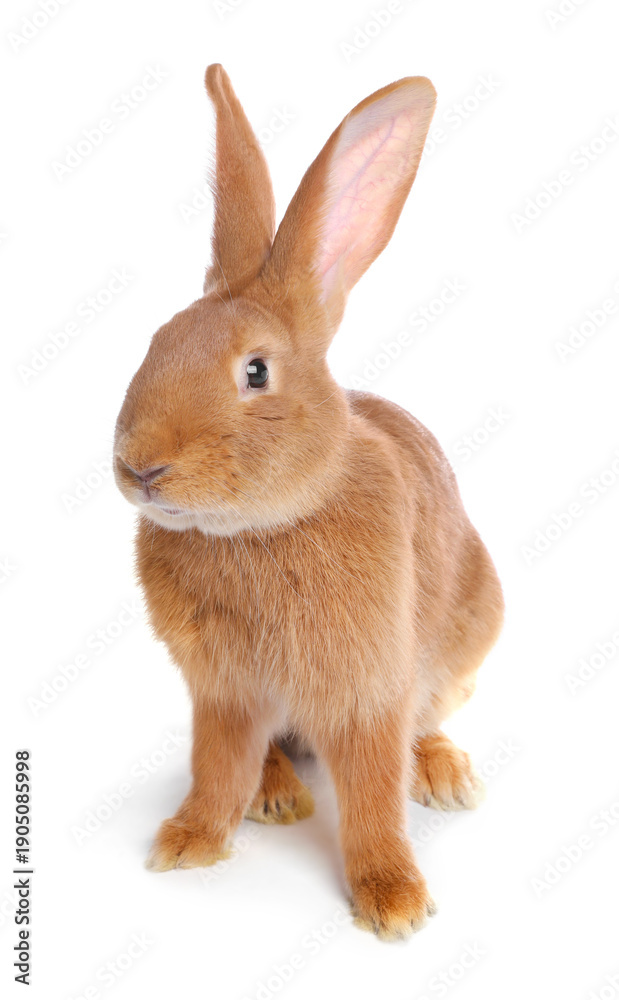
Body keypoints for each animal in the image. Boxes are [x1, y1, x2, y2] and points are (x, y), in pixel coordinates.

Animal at [113, 64, 504, 940]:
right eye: (156, 342)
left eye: (255, 372)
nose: (140, 467)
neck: (264, 525)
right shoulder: (222, 691)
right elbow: (217, 766)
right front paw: (187, 843)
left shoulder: (370, 689)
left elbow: (372, 796)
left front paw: (394, 901)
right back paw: (277, 796)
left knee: (424, 727)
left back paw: (445, 777)